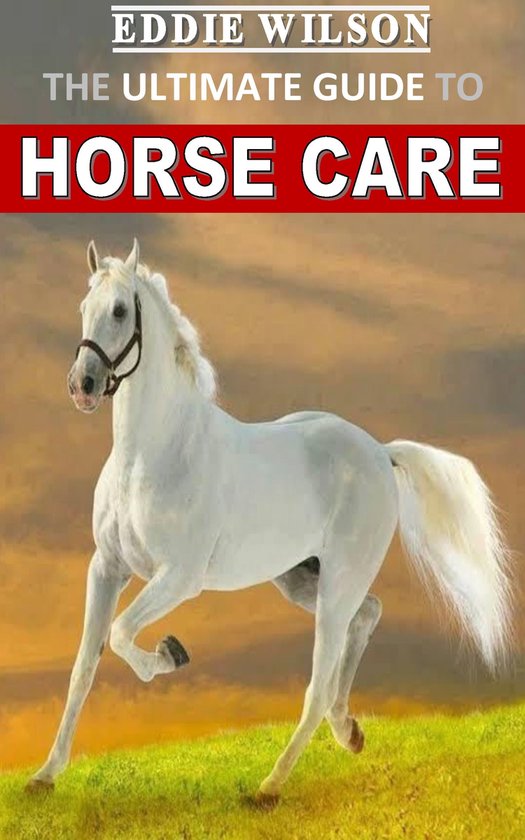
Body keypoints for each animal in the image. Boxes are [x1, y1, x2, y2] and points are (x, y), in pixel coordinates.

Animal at [27, 240, 513, 803]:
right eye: (83, 308)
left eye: (122, 310)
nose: (82, 385)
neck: (153, 453)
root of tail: (378, 451)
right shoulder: (106, 568)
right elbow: (84, 666)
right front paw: (44, 776)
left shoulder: (179, 578)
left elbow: (124, 633)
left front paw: (172, 653)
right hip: (301, 577)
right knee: (367, 616)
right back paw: (349, 731)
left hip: (338, 581)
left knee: (318, 681)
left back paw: (270, 786)